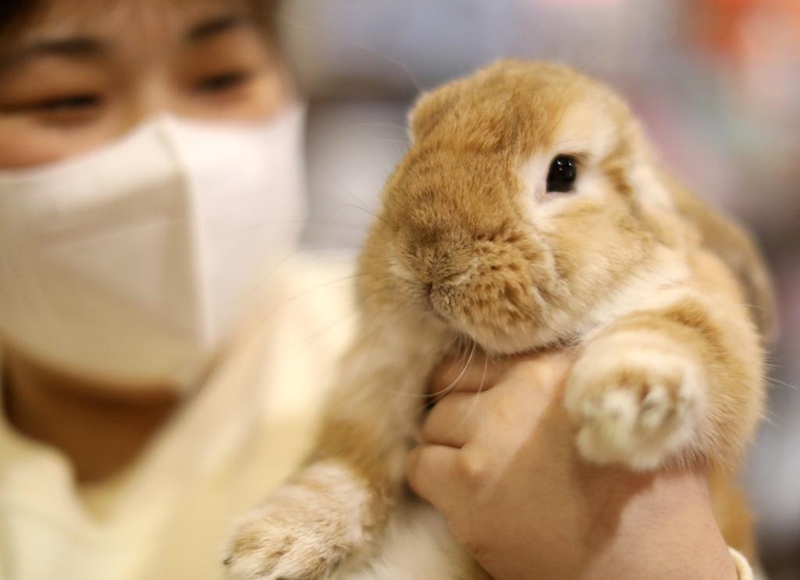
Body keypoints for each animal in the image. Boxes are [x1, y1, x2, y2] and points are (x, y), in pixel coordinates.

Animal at [224, 60, 775, 580]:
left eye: (564, 172)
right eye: (414, 142)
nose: (430, 255)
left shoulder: (708, 318)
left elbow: (675, 335)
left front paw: (625, 407)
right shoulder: (377, 386)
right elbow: (345, 467)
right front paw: (267, 548)